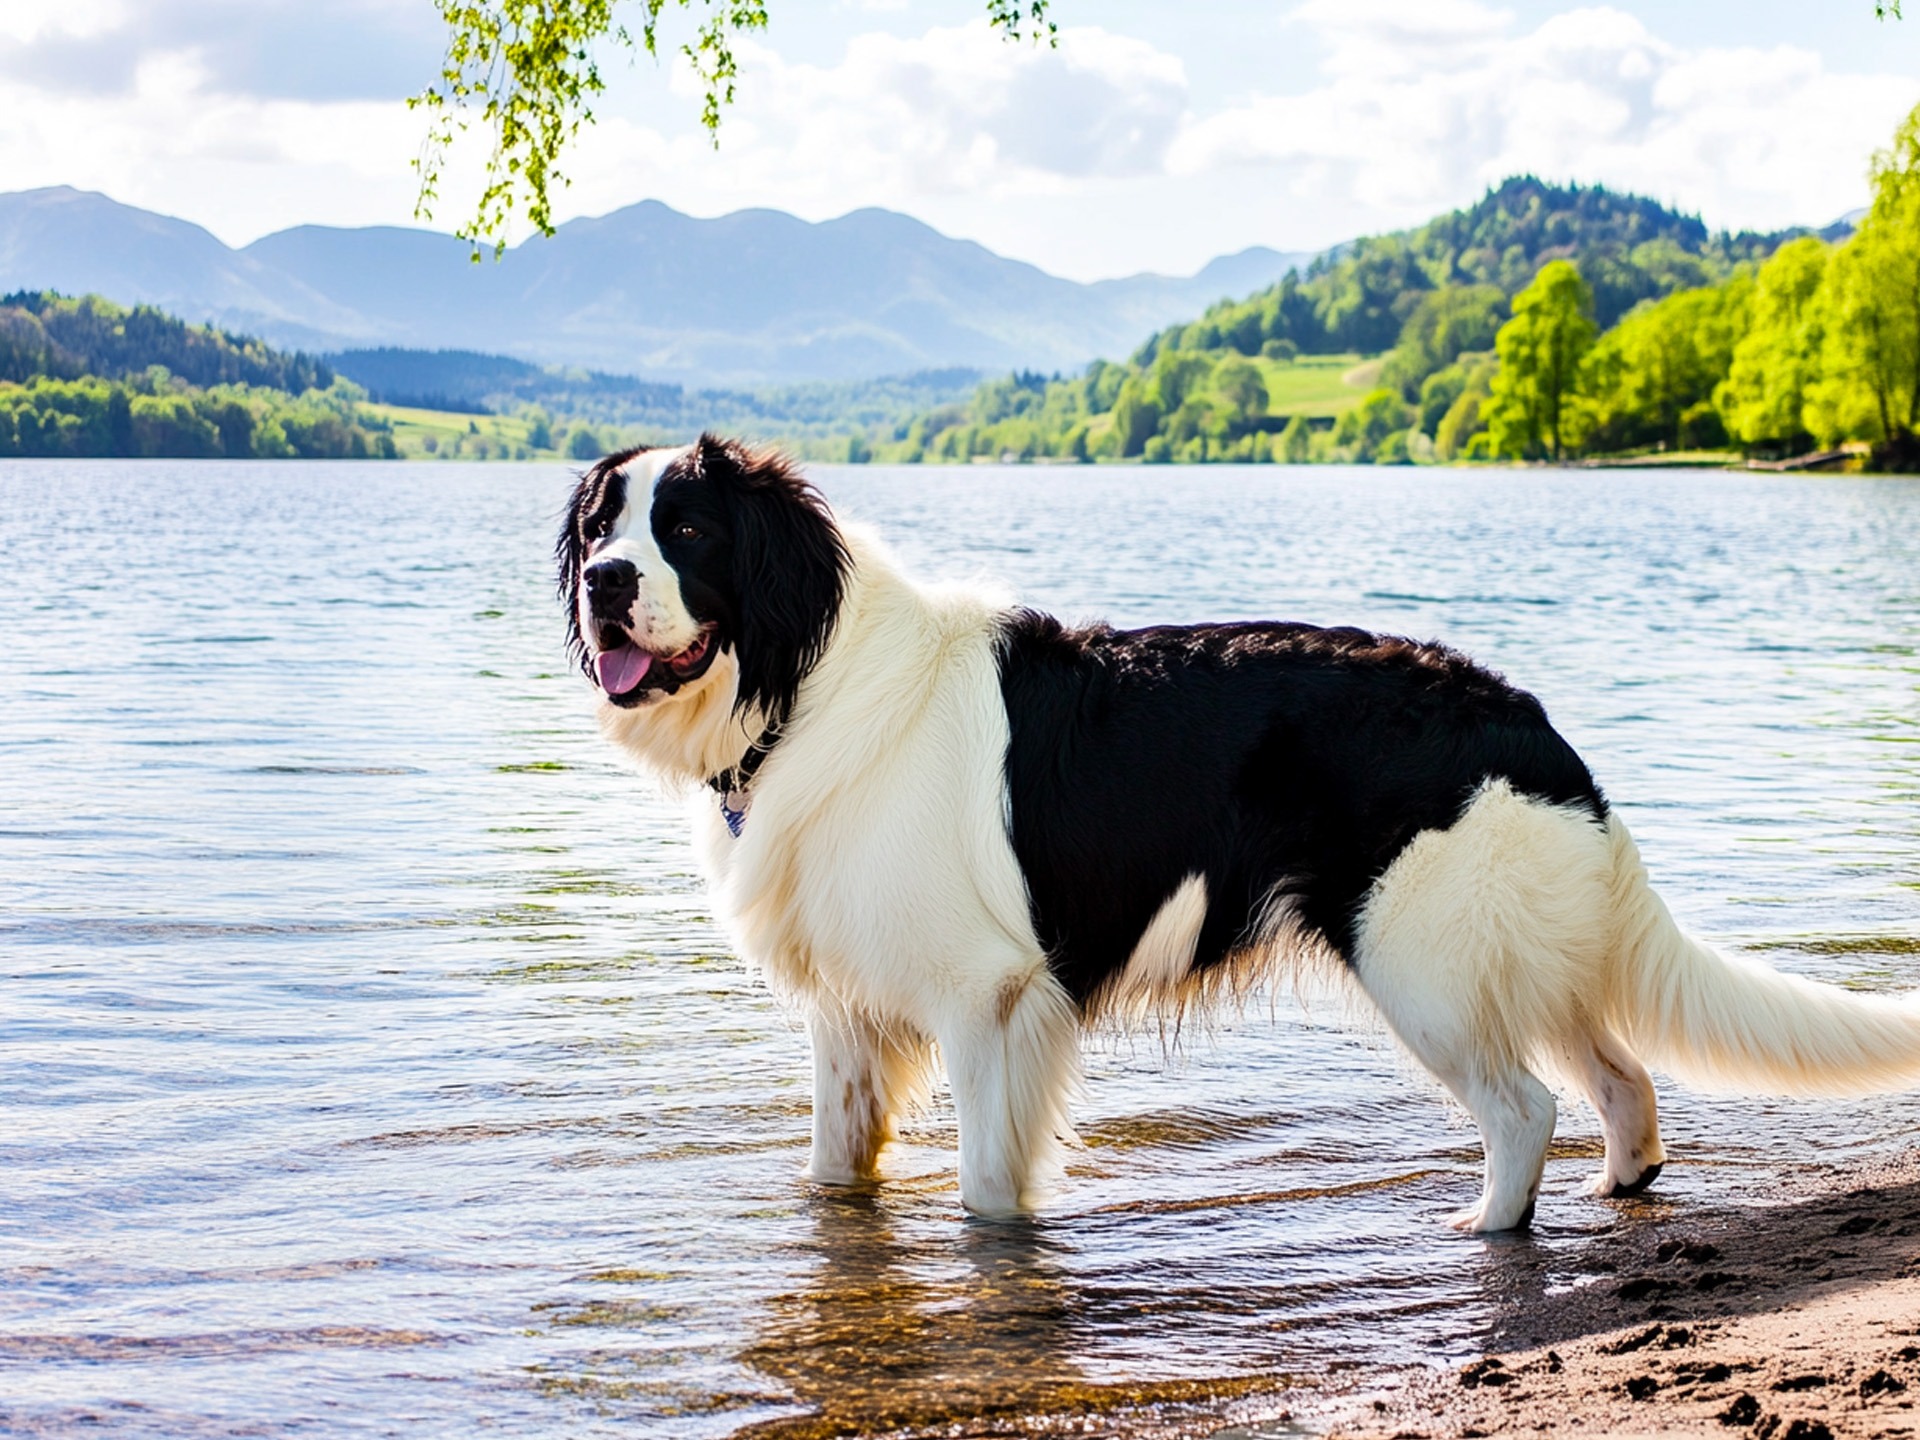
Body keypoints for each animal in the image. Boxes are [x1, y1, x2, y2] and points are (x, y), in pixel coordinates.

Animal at [560, 437, 1920, 1228]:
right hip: (1509, 959)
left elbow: (990, 1192)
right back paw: (1623, 1183)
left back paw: (1485, 1227)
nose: (602, 584)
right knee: (1622, 1078)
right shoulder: (851, 1014)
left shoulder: (988, 999)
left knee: (1526, 1106)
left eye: (688, 528)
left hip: (1418, 966)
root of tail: (1525, 720)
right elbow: (834, 1172)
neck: (805, 680)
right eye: (597, 527)